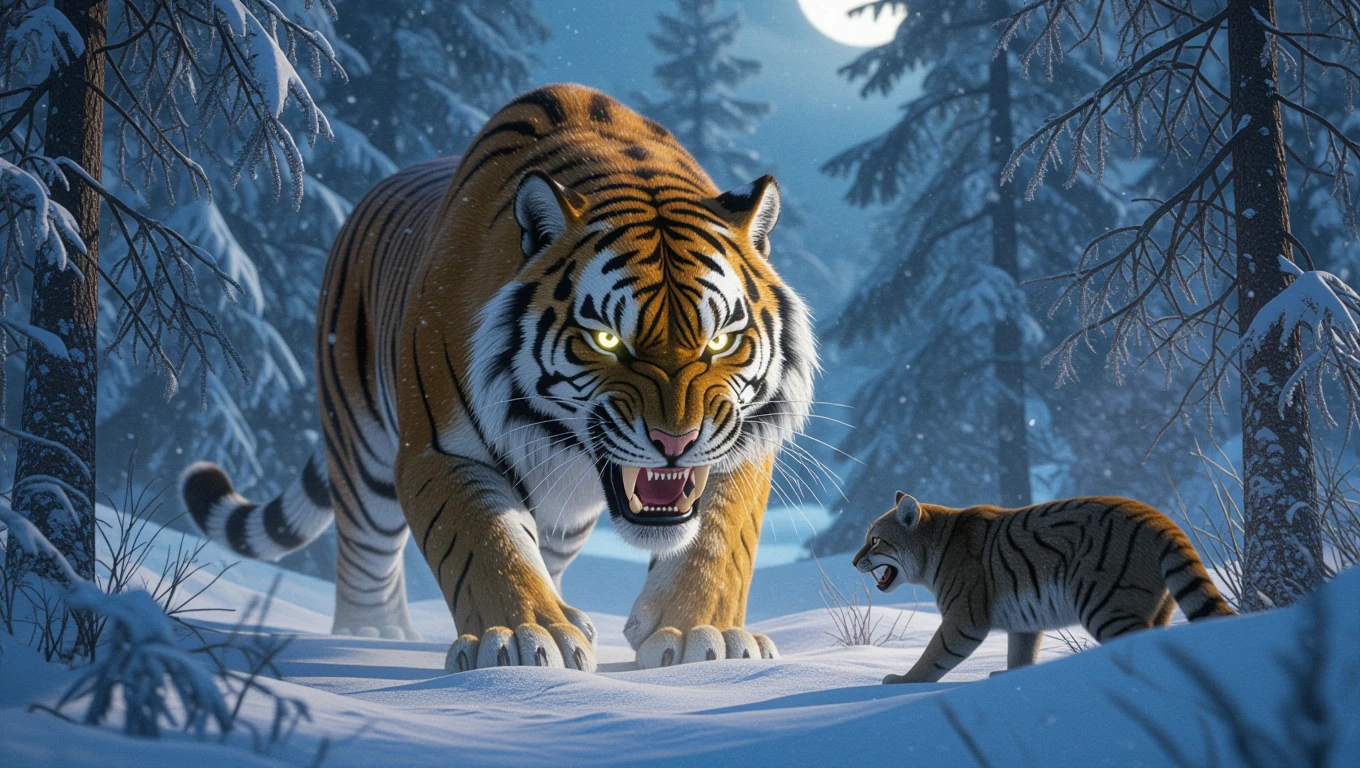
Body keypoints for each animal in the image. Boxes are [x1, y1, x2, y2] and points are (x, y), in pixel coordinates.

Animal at [180, 83, 816, 673]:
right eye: (608, 340)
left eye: (720, 341)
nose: (675, 442)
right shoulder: (440, 450)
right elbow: (486, 544)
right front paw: (526, 640)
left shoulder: (741, 441)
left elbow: (718, 543)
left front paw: (702, 638)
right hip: (359, 446)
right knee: (366, 554)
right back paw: (373, 635)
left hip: (567, 517)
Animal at [852, 493, 1234, 683]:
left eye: (875, 541)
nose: (855, 562)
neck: (936, 548)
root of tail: (1162, 520)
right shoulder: (1024, 621)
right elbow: (1020, 654)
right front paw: (1006, 676)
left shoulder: (963, 617)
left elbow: (935, 655)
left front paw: (902, 681)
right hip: (1155, 607)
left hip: (1107, 607)